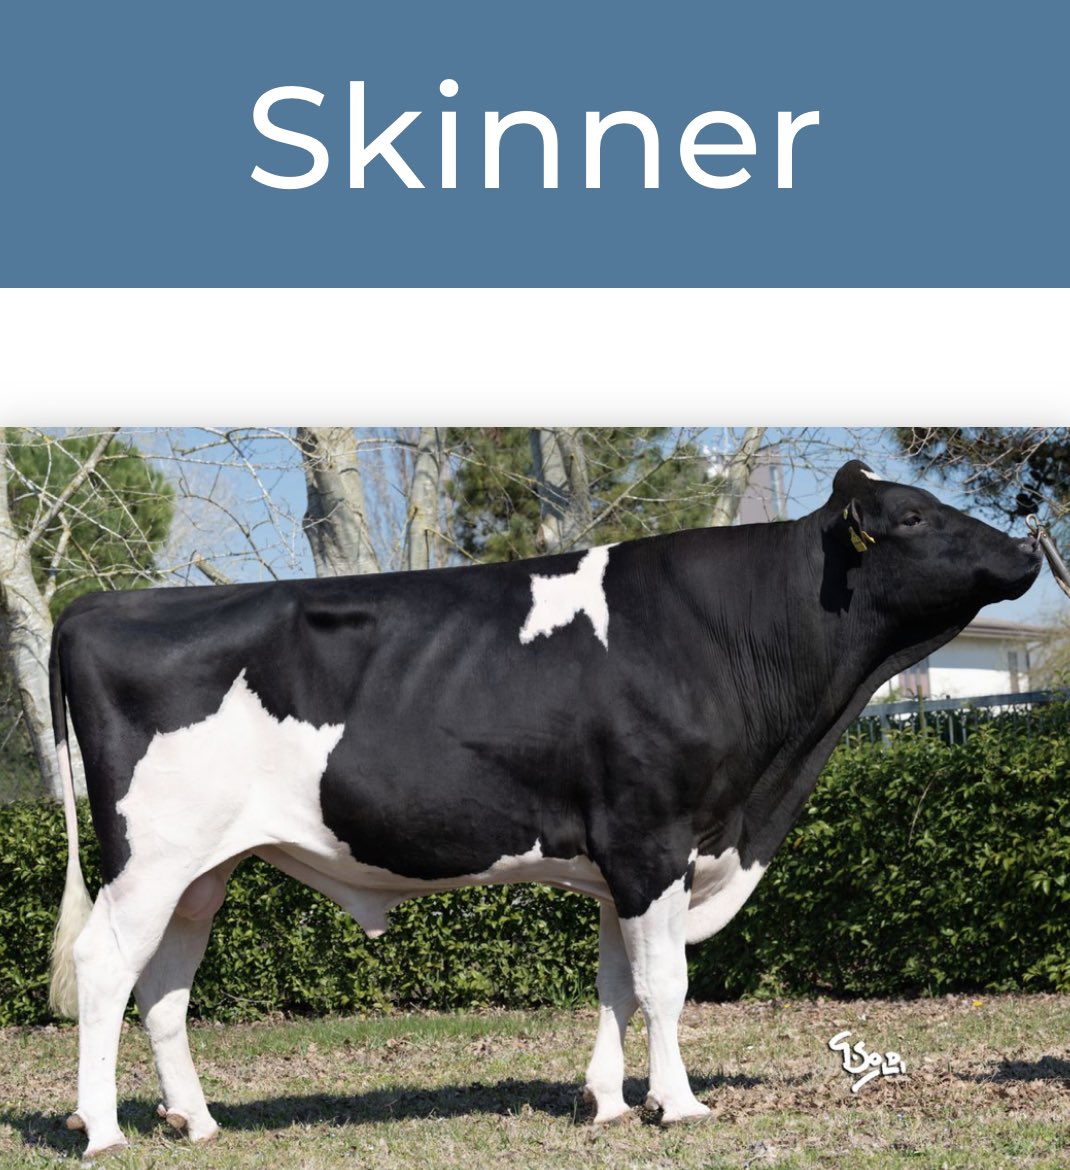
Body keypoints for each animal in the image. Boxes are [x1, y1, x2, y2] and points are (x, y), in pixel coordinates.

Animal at [47, 460, 1040, 1158]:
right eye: (914, 517)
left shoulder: (621, 859)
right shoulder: (652, 839)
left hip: (202, 869)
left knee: (163, 985)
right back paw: (105, 1130)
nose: (1031, 545)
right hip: (152, 856)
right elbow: (666, 983)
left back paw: (197, 1121)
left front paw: (609, 1104)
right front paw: (681, 1105)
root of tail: (94, 607)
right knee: (104, 964)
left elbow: (617, 986)